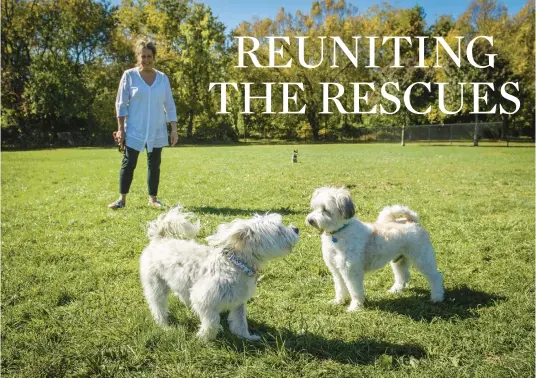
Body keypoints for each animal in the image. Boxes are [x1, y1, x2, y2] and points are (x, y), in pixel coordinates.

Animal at [139, 208, 298, 342]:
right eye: (279, 230)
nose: (296, 229)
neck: (236, 265)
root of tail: (159, 239)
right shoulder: (204, 300)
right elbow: (212, 322)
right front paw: (204, 338)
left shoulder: (239, 302)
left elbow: (241, 323)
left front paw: (247, 337)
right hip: (155, 285)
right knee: (157, 305)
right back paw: (164, 324)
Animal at [306, 187, 444, 314]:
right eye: (315, 207)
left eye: (325, 210)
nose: (310, 220)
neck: (338, 233)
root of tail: (412, 221)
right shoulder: (336, 270)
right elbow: (340, 288)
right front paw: (338, 301)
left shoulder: (351, 272)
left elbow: (354, 291)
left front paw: (355, 307)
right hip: (399, 260)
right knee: (403, 275)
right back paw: (395, 290)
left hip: (422, 259)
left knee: (436, 276)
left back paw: (437, 297)